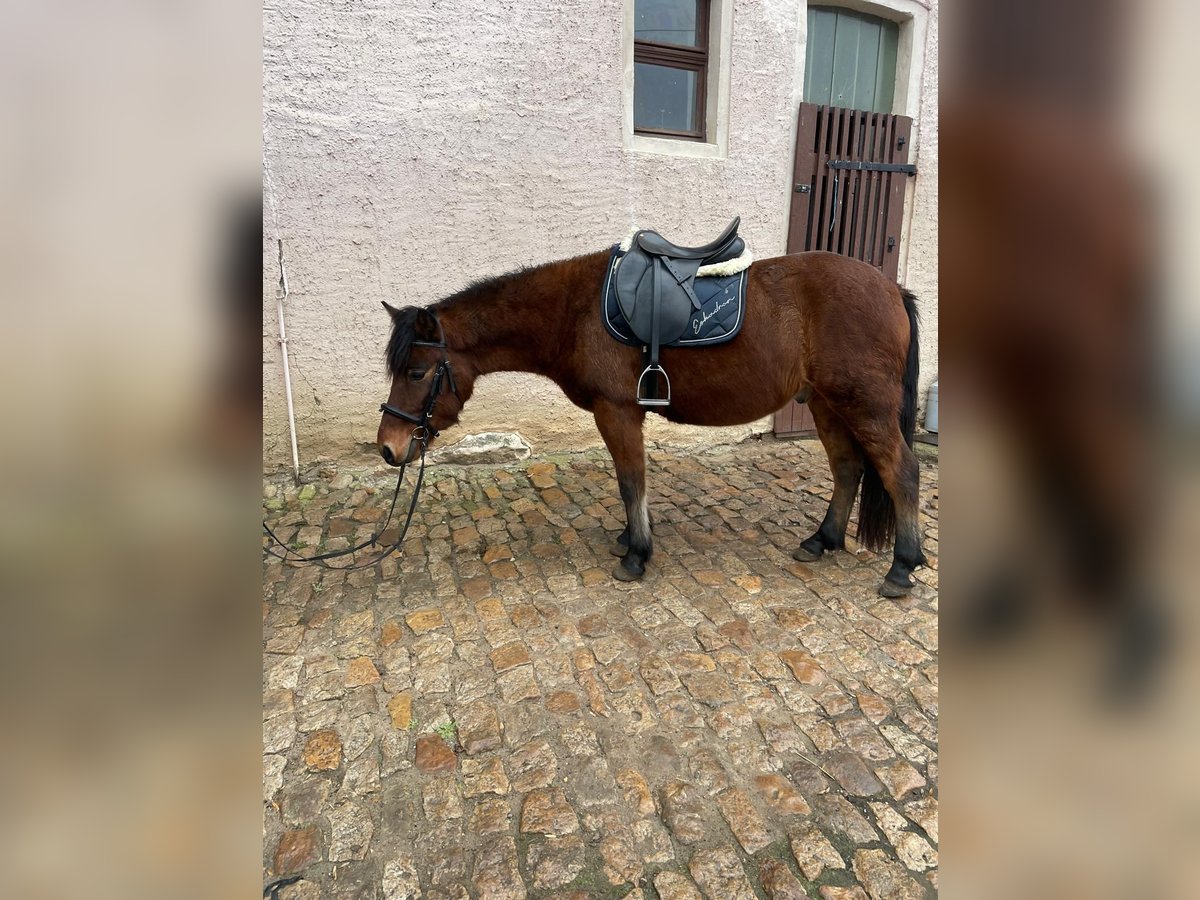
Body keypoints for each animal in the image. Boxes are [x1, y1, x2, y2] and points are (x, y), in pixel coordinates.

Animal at [375, 246, 926, 597]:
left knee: (901, 473)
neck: (575, 313)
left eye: (416, 371)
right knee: (848, 470)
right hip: (827, 404)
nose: (389, 447)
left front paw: (637, 553)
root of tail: (892, 288)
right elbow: (631, 483)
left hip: (864, 405)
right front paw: (630, 539)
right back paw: (821, 541)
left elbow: (630, 481)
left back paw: (901, 567)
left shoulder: (616, 411)